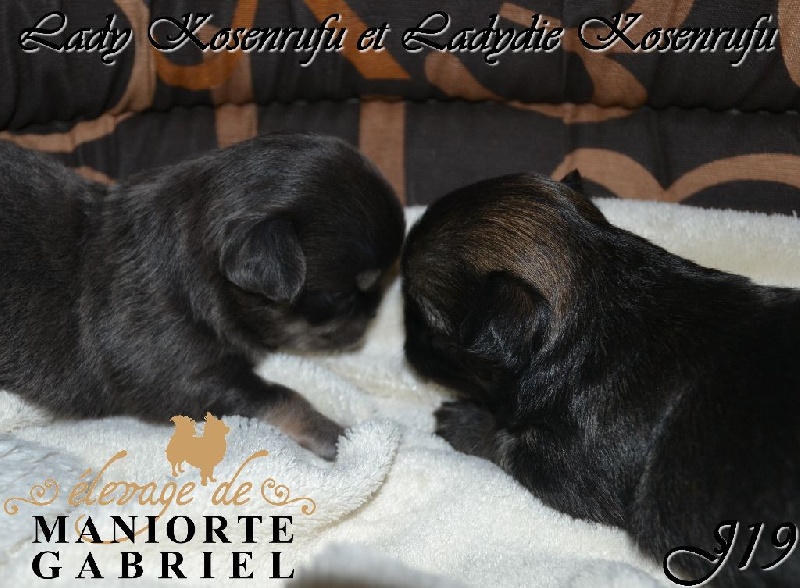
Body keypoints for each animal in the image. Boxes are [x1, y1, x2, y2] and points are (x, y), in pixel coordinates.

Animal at [402, 172, 800, 586]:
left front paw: (462, 420)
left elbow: (505, 442)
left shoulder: (570, 470)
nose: (406, 345)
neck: (598, 304)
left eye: (428, 327)